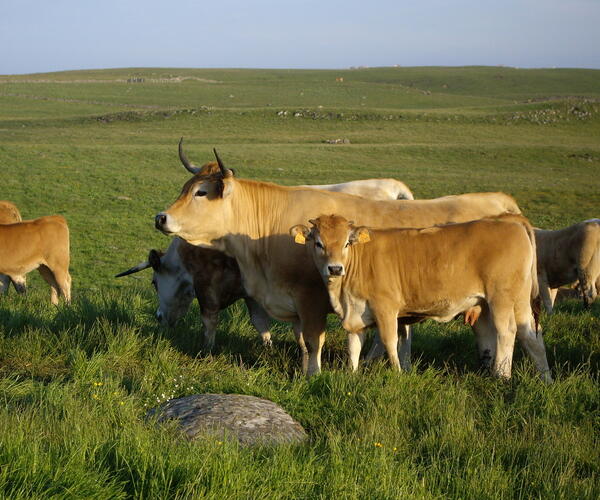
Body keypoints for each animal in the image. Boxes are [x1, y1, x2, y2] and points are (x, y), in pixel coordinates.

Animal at [116, 237, 270, 348]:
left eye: (154, 282)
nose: (159, 317)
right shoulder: (252, 296)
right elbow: (261, 324)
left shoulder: (206, 288)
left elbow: (209, 324)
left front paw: (206, 353)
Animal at [292, 213, 552, 380]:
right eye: (318, 243)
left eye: (347, 242)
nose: (335, 268)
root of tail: (508, 220)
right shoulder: (356, 315)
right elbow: (354, 346)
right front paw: (351, 376)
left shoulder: (386, 308)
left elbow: (390, 342)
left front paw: (398, 375)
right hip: (518, 301)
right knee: (531, 335)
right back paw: (545, 378)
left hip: (501, 299)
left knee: (507, 332)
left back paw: (502, 376)